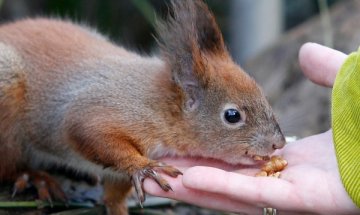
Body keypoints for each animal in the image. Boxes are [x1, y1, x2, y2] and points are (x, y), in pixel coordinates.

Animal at [0, 0, 286, 214]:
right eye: (232, 115)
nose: (278, 143)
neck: (159, 105)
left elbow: (114, 194)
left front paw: (117, 207)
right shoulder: (97, 109)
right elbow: (89, 132)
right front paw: (143, 166)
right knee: (9, 166)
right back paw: (32, 176)